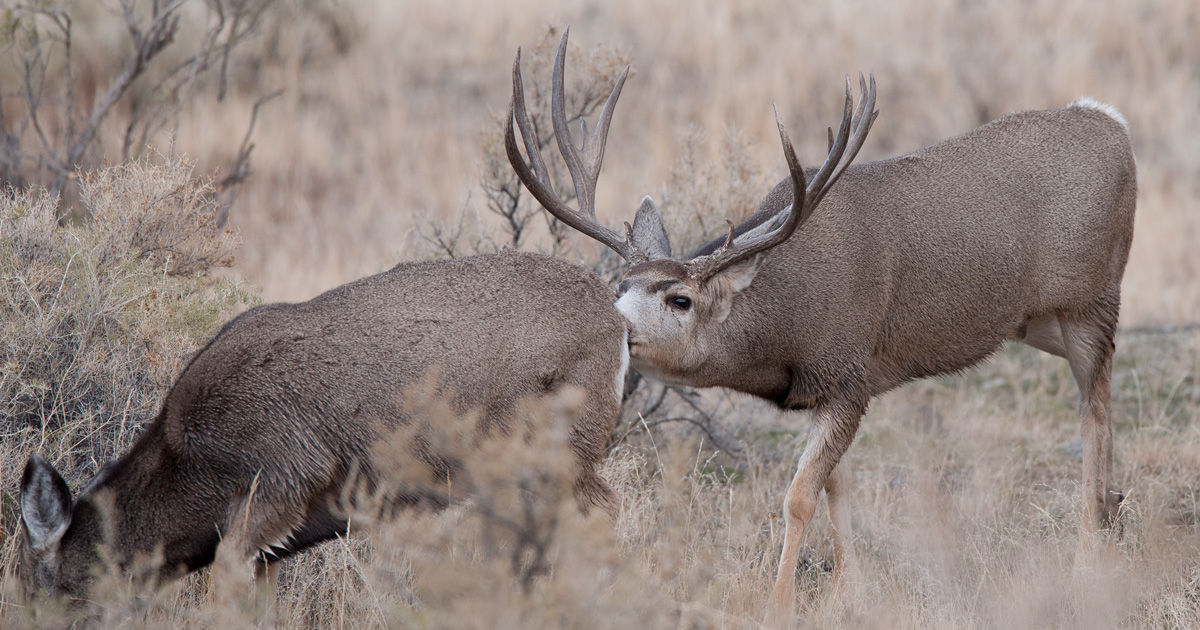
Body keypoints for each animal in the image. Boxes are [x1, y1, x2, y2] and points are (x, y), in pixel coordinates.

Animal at [18, 249, 629, 605]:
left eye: (46, 594)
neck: (190, 460)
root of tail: (616, 314)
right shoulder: (276, 542)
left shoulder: (284, 473)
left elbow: (225, 581)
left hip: (560, 446)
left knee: (602, 510)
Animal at [505, 30, 1136, 619]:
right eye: (621, 286)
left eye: (680, 300)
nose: (613, 328)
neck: (786, 321)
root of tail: (1110, 121)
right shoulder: (833, 389)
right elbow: (838, 486)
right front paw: (847, 594)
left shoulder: (848, 373)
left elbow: (799, 497)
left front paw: (780, 604)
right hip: (1038, 322)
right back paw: (1114, 511)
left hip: (1093, 299)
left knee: (1097, 406)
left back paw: (1091, 553)